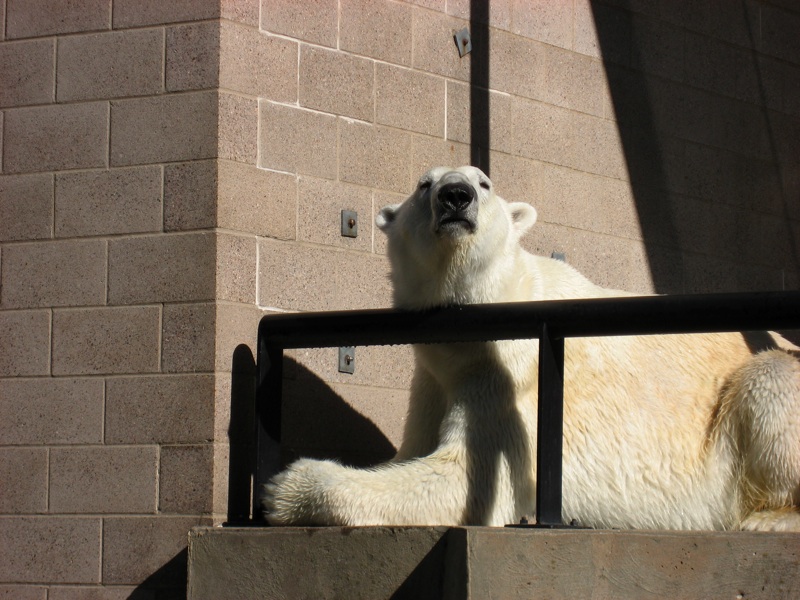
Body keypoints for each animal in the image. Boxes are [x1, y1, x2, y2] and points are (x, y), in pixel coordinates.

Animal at [262, 164, 800, 528]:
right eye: (423, 184)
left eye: (483, 182)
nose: (455, 196)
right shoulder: (435, 375)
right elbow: (411, 451)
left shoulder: (511, 379)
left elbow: (464, 480)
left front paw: (281, 488)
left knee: (769, 381)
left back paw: (766, 519)